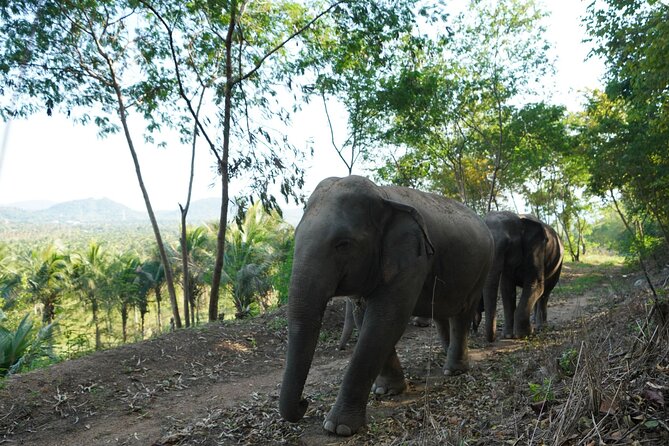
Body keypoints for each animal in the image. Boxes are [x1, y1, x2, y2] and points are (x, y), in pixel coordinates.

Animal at [279, 175, 494, 436]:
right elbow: (368, 319)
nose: (304, 403)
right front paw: (387, 391)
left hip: (483, 268)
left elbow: (385, 320)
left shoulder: (414, 257)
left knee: (462, 313)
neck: (382, 195)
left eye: (343, 244)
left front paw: (338, 427)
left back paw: (454, 370)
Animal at [481, 211, 564, 342]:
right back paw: (535, 321)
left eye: (507, 245)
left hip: (558, 263)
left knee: (545, 293)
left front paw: (523, 334)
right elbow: (506, 289)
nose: (492, 339)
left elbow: (535, 285)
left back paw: (541, 326)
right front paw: (508, 335)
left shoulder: (536, 250)